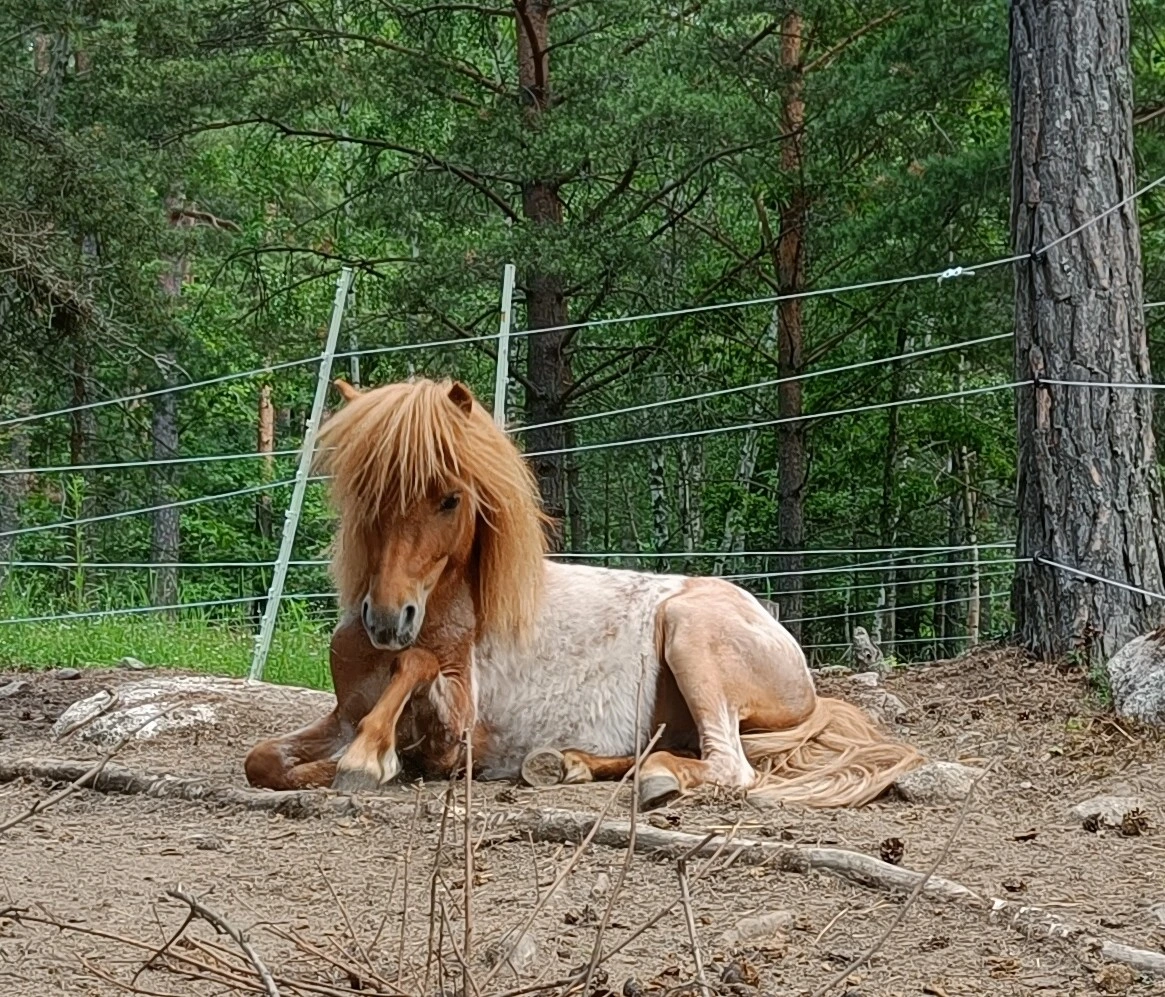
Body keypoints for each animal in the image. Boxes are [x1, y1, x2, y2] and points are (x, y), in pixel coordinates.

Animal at [244, 376, 924, 808]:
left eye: (450, 499)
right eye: (364, 492)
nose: (388, 620)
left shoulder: (451, 735)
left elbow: (413, 674)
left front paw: (366, 761)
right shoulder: (341, 714)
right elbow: (265, 761)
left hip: (690, 633)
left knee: (729, 765)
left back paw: (653, 781)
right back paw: (568, 764)